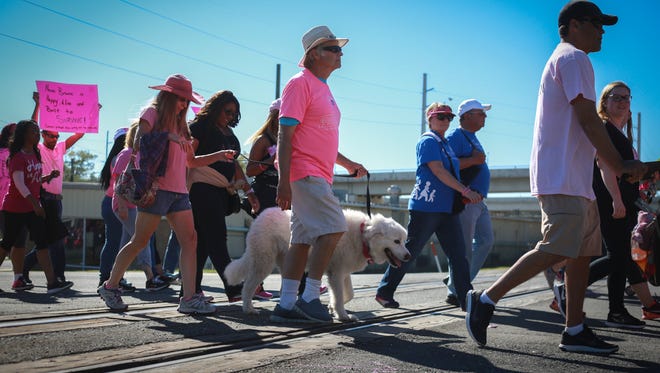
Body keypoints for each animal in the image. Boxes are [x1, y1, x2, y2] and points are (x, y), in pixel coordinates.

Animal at [227, 206, 412, 320]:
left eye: (404, 241)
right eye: (396, 241)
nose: (408, 256)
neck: (362, 236)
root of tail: (260, 216)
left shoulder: (342, 272)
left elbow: (348, 294)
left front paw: (331, 307)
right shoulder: (336, 273)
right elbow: (339, 296)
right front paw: (343, 316)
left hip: (284, 262)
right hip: (264, 262)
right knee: (248, 286)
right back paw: (249, 308)